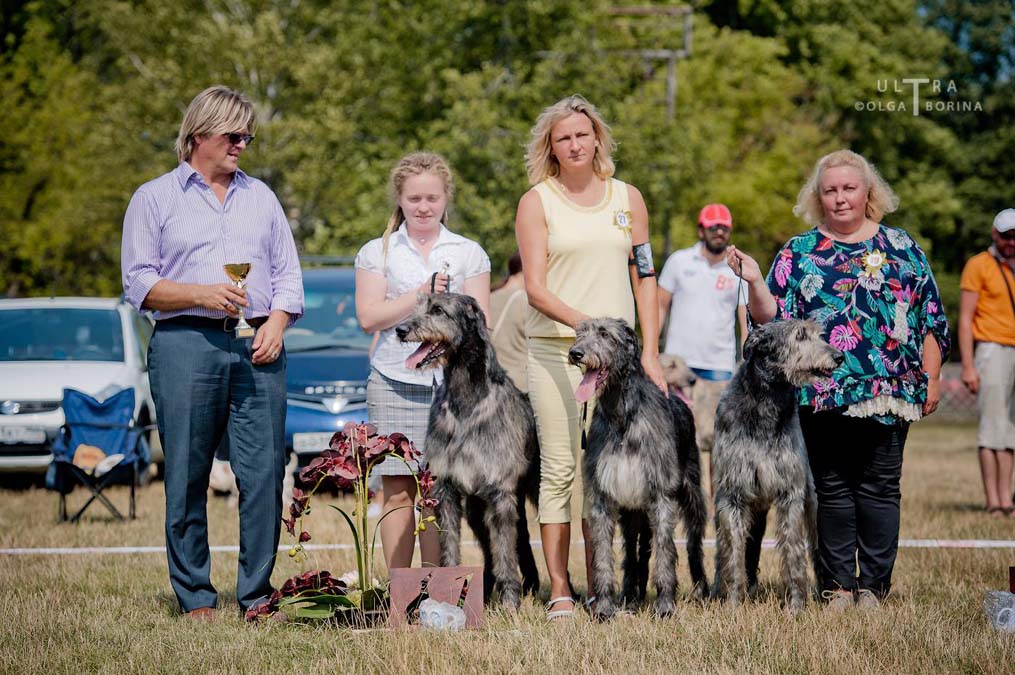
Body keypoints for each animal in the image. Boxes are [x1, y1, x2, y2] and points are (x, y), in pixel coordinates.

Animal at [393, 292, 539, 609]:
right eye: (416, 307)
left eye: (438, 310)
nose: (400, 329)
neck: (466, 398)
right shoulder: (445, 490)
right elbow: (449, 549)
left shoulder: (500, 493)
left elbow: (506, 552)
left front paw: (511, 603)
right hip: (475, 507)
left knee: (520, 538)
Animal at [572, 318, 706, 617]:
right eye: (579, 333)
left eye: (604, 334)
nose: (575, 353)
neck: (622, 416)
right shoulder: (603, 497)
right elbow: (602, 555)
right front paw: (604, 607)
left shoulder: (661, 495)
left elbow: (666, 553)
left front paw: (666, 606)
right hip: (633, 513)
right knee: (635, 553)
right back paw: (631, 594)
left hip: (691, 491)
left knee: (693, 542)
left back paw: (702, 588)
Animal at [710, 318, 844, 613]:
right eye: (800, 335)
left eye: (820, 335)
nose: (839, 356)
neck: (765, 404)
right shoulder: (732, 493)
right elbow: (733, 549)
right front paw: (733, 603)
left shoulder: (790, 492)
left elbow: (793, 548)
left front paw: (796, 605)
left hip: (812, 500)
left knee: (816, 545)